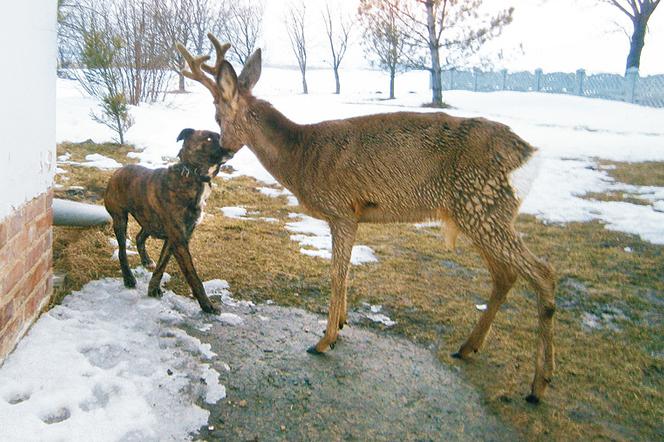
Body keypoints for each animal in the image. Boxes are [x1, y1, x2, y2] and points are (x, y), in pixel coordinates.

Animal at [104, 129, 233, 314]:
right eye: (209, 138)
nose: (231, 144)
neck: (192, 175)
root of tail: (117, 171)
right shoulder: (179, 240)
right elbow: (193, 275)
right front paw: (207, 305)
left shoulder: (177, 238)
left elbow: (162, 264)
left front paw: (153, 288)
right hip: (120, 219)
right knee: (122, 250)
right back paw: (128, 278)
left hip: (149, 220)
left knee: (139, 237)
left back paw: (145, 260)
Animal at [176, 33, 556, 400]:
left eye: (216, 115)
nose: (223, 150)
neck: (300, 158)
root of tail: (529, 155)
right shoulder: (354, 215)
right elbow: (346, 273)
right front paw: (341, 324)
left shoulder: (342, 209)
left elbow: (336, 273)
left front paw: (324, 339)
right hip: (477, 214)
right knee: (506, 274)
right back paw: (468, 348)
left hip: (482, 204)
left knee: (543, 273)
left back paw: (539, 384)